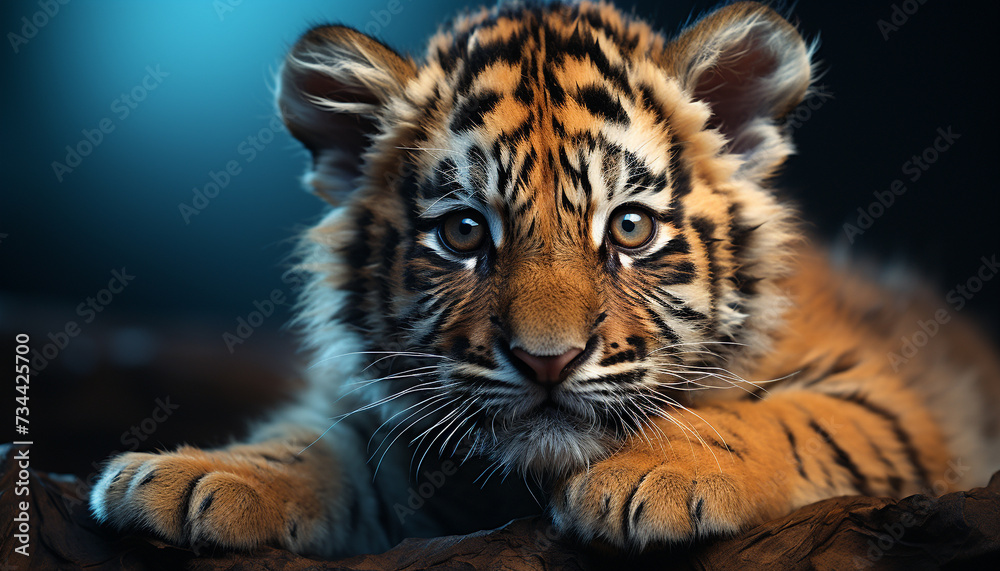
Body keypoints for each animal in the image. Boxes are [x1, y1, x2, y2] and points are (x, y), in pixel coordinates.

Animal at [89, 0, 1000, 558]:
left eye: (629, 227)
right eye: (464, 233)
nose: (547, 360)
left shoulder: (896, 407)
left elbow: (784, 417)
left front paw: (655, 474)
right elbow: (326, 444)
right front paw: (202, 474)